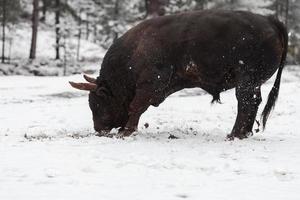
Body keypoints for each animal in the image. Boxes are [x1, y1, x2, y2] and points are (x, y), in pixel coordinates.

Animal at [69, 10, 288, 139]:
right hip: (253, 82)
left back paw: (234, 134)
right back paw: (244, 133)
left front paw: (126, 131)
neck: (135, 50)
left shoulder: (150, 84)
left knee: (246, 102)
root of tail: (270, 20)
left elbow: (136, 107)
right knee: (252, 102)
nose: (98, 129)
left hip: (246, 80)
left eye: (97, 102)